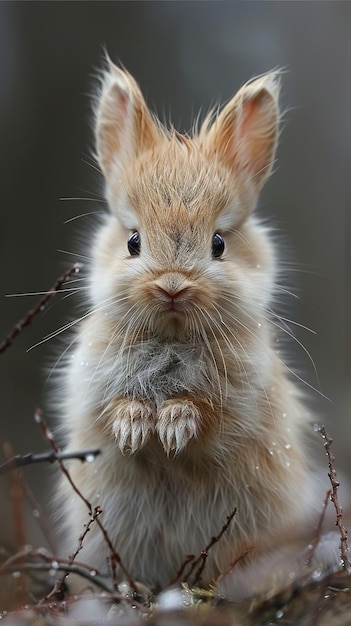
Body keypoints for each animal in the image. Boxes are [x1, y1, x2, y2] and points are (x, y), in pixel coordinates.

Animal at [55, 61, 338, 596]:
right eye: (133, 241)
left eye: (219, 244)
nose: (172, 286)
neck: (171, 334)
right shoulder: (92, 394)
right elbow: (113, 411)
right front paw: (134, 426)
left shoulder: (239, 406)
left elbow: (209, 420)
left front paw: (172, 425)